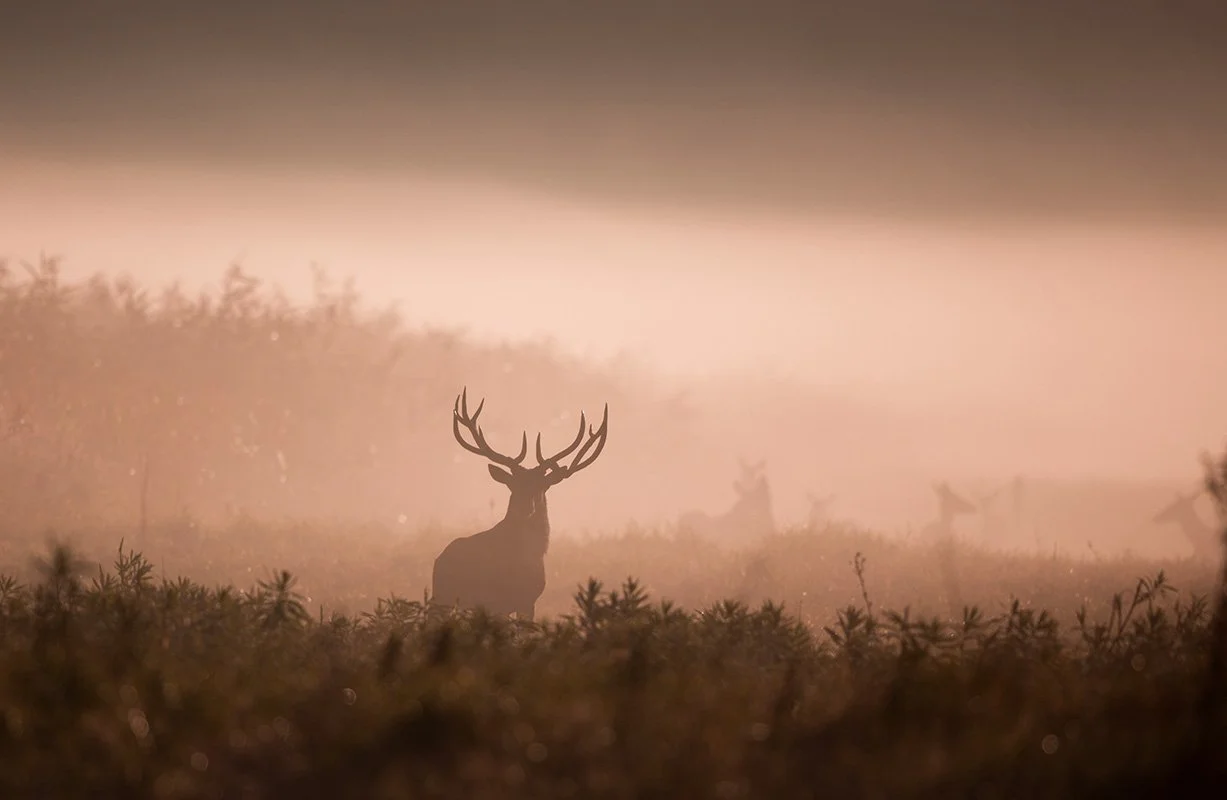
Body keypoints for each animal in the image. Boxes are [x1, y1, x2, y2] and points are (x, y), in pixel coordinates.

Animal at [431, 388, 609, 621]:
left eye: (542, 486)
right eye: (512, 485)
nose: (525, 507)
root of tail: (439, 558)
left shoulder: (529, 601)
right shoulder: (495, 602)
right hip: (442, 596)